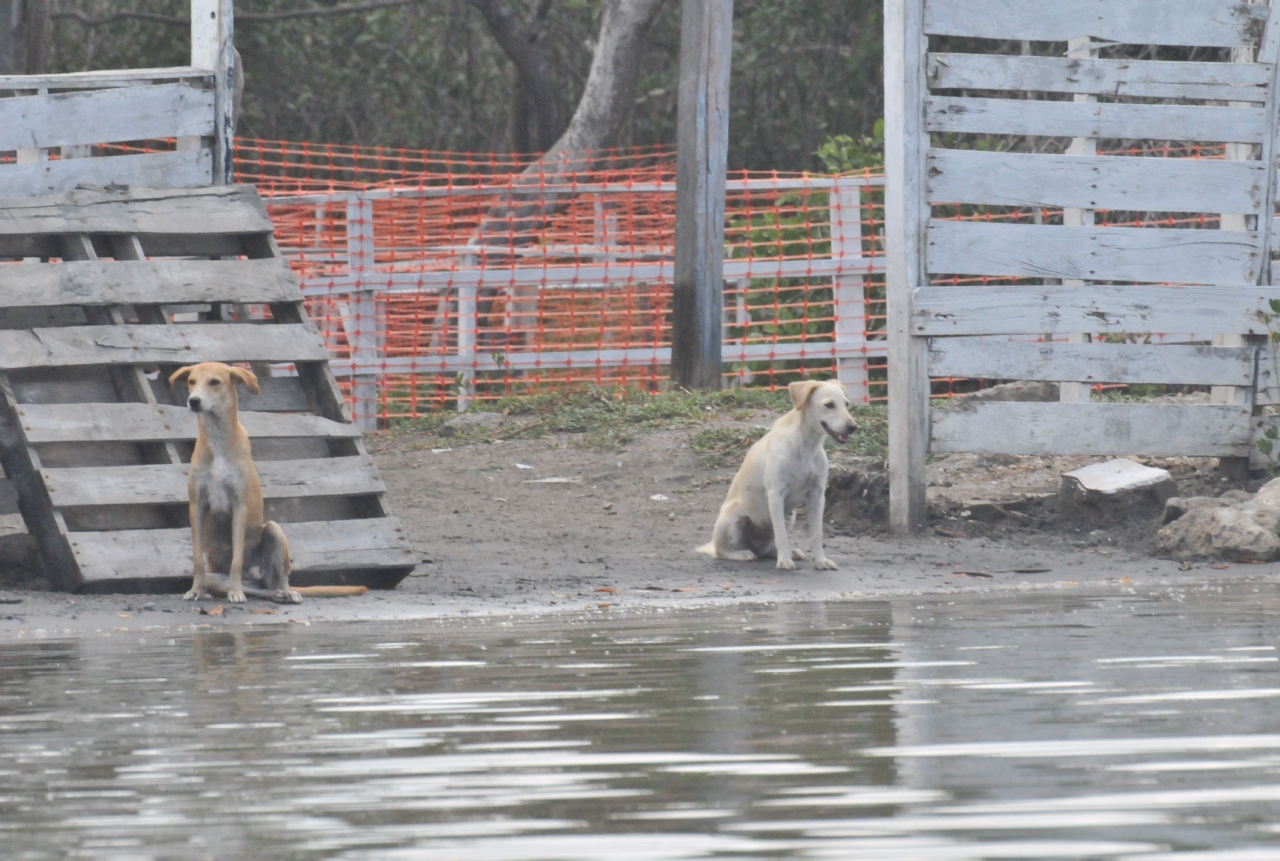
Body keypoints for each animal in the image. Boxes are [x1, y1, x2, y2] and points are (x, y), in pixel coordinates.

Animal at [168, 358, 298, 601]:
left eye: (214, 382)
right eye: (191, 382)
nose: (194, 401)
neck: (218, 441)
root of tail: (254, 579)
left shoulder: (240, 507)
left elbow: (236, 560)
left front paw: (235, 592)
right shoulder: (196, 506)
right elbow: (197, 559)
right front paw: (196, 590)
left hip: (274, 530)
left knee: (279, 580)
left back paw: (285, 592)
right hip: (219, 578)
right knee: (263, 592)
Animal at [696, 378, 855, 568]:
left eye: (846, 404)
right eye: (829, 405)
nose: (853, 427)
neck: (806, 446)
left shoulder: (817, 495)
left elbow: (817, 534)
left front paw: (820, 560)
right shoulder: (776, 495)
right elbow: (781, 536)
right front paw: (784, 561)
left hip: (791, 516)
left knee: (767, 549)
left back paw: (786, 552)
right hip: (733, 516)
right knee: (722, 552)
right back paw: (742, 553)